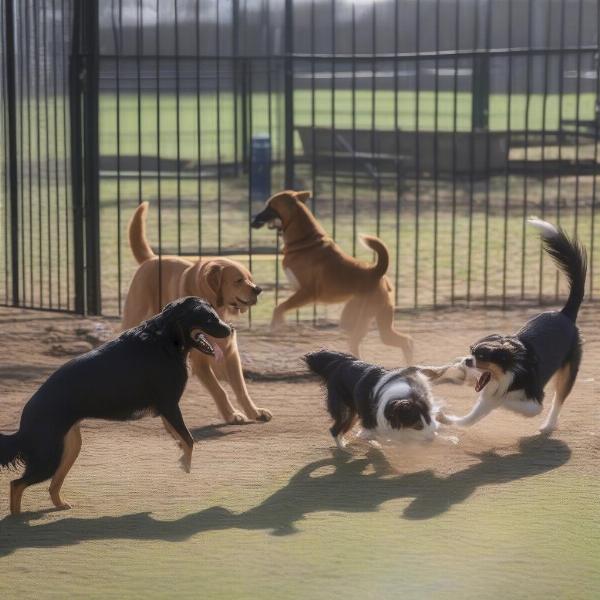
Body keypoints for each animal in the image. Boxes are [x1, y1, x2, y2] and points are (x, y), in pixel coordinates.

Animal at [0, 296, 230, 516]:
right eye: (210, 318)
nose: (230, 330)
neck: (165, 338)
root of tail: (24, 423)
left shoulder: (166, 410)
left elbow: (182, 438)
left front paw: (181, 455)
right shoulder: (169, 405)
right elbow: (189, 439)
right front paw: (185, 464)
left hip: (69, 450)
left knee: (51, 485)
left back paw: (59, 505)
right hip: (48, 457)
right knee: (17, 484)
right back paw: (18, 517)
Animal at [252, 191, 412, 360]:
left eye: (270, 206)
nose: (253, 219)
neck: (305, 242)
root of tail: (377, 272)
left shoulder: (307, 292)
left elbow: (279, 308)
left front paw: (276, 325)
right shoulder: (299, 293)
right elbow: (282, 305)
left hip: (362, 318)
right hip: (366, 319)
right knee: (403, 340)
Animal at [304, 352, 464, 450]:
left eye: (428, 420)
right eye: (417, 425)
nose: (430, 438)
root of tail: (339, 363)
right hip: (346, 410)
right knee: (335, 429)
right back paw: (343, 447)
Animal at [436, 218, 584, 434]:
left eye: (482, 356)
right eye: (471, 351)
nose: (467, 360)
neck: (511, 367)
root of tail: (564, 313)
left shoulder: (533, 402)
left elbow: (505, 401)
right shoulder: (488, 392)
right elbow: (470, 419)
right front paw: (444, 418)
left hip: (568, 373)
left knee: (558, 400)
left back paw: (548, 426)